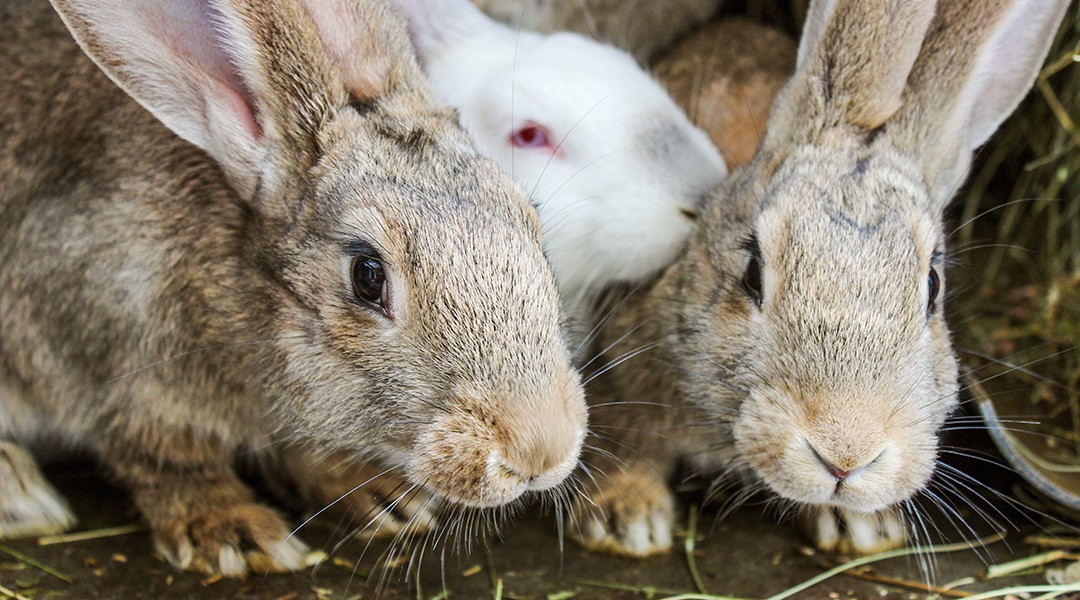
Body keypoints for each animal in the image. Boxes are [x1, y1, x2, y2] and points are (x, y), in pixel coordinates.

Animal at [2, 0, 591, 578]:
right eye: (368, 275)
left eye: (531, 221)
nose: (542, 452)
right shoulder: (111, 352)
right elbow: (166, 457)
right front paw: (233, 531)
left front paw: (381, 498)